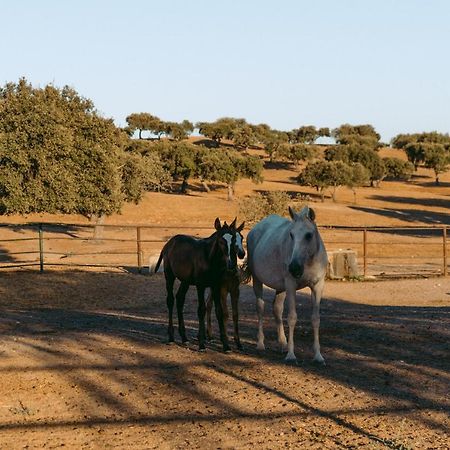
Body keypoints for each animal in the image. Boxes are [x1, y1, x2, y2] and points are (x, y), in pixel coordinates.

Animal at [155, 218, 234, 352]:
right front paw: (201, 345)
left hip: (185, 281)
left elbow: (219, 311)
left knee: (180, 299)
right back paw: (171, 337)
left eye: (233, 239)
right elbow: (201, 310)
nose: (230, 263)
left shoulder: (215, 286)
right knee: (170, 300)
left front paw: (226, 346)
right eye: (221, 241)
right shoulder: (200, 286)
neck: (209, 258)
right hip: (169, 276)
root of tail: (168, 244)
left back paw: (184, 338)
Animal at [206, 220, 244, 350]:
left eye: (242, 237)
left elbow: (235, 314)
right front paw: (226, 340)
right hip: (214, 288)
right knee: (209, 304)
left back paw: (210, 335)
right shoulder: (222, 290)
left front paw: (238, 342)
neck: (229, 271)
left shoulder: (235, 291)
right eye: (234, 238)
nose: (242, 254)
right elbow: (225, 314)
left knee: (208, 303)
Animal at [246, 206, 326, 364]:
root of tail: (255, 228)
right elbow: (292, 317)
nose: (294, 267)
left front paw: (318, 356)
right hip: (258, 281)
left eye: (309, 235)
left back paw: (282, 344)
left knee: (277, 309)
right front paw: (291, 355)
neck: (308, 262)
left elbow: (315, 319)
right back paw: (261, 344)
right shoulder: (291, 285)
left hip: (280, 288)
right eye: (291, 234)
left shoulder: (317, 286)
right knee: (260, 308)